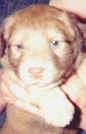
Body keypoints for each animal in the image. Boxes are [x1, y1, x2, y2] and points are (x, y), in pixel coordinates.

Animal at [0, 4, 84, 134]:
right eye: (19, 46)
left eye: (55, 43)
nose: (35, 71)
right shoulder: (15, 76)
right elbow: (42, 88)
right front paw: (59, 109)